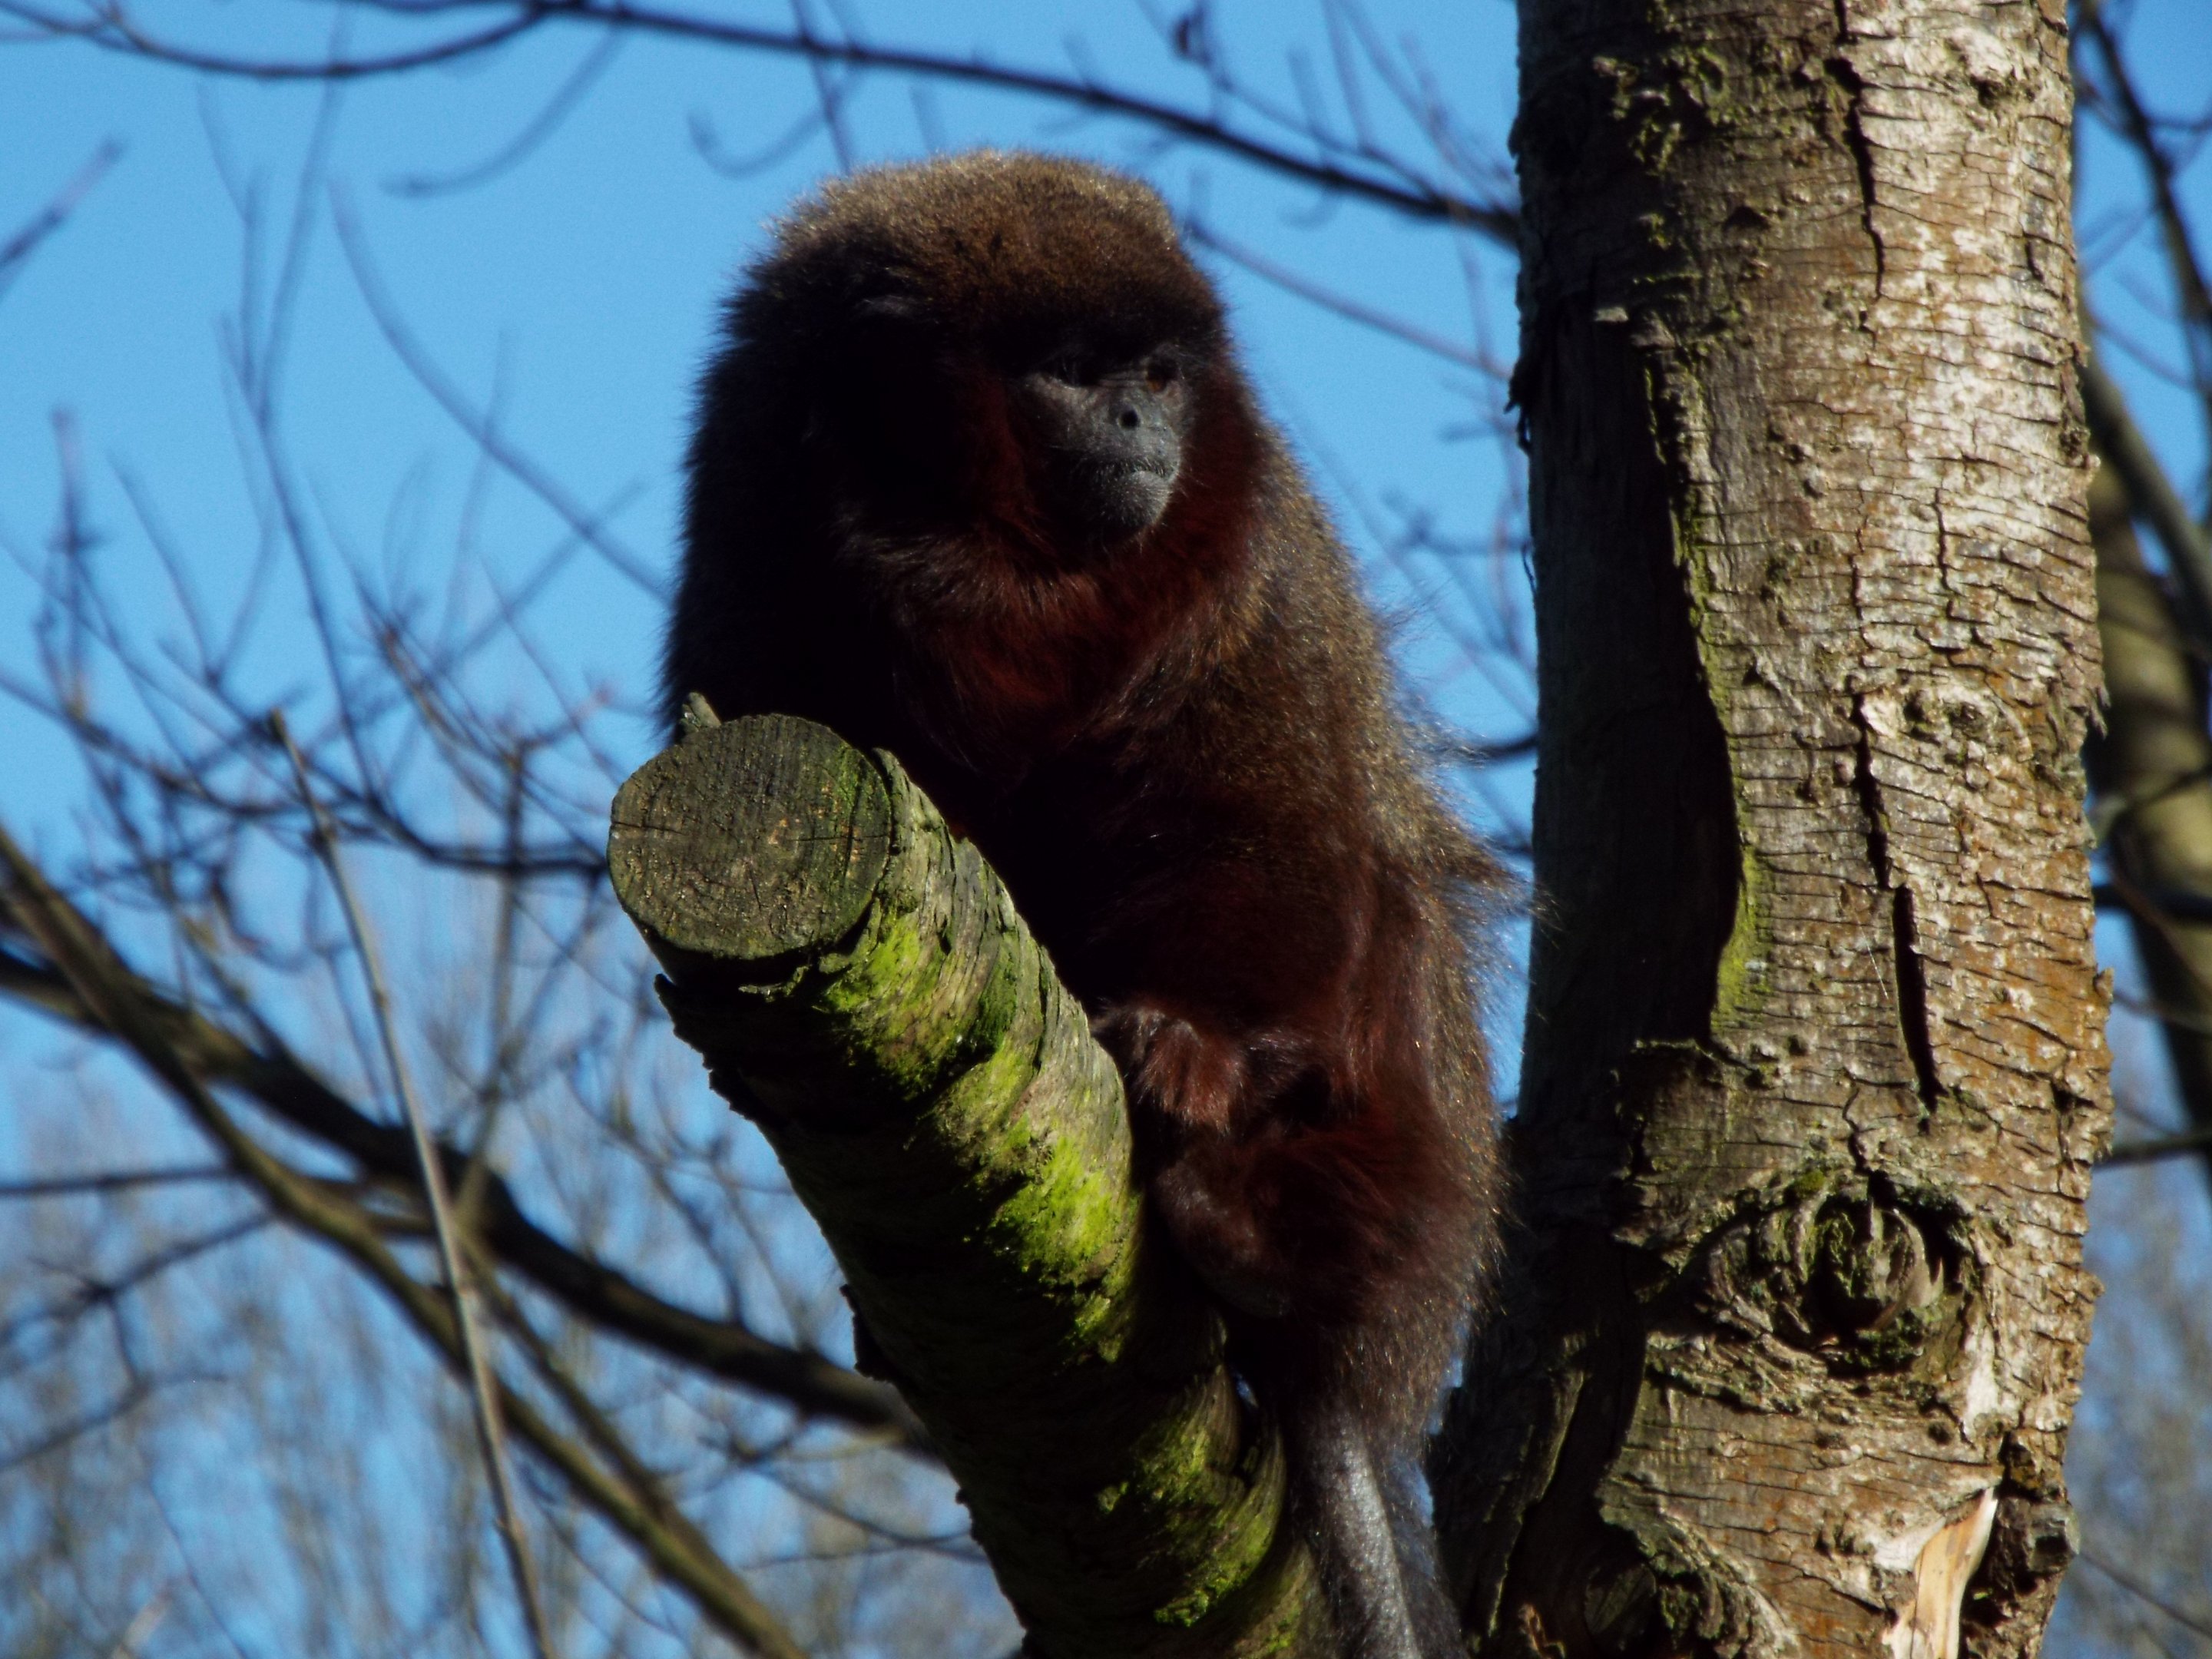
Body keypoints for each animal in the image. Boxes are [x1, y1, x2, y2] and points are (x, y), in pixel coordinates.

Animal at [667, 150, 1500, 1659]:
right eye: (1070, 370)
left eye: (1157, 374)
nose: (1133, 419)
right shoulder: (749, 473)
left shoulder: (1257, 554)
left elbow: (1275, 821)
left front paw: (1191, 1046)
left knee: (1395, 897)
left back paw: (1284, 1254)